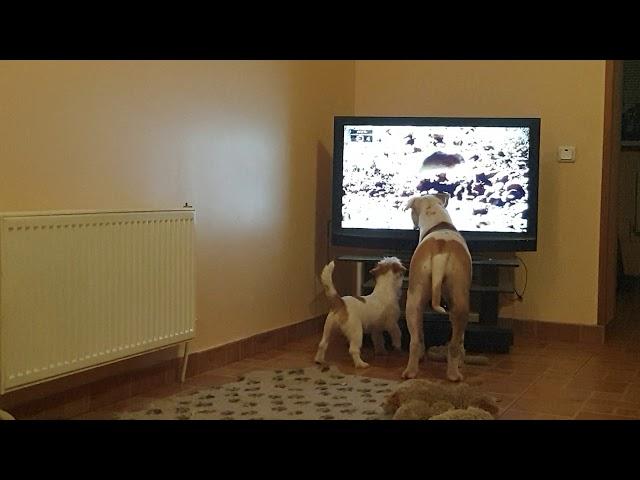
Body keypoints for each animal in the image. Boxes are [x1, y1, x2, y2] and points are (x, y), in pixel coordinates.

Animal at [402, 193, 472, 380]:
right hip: (461, 300)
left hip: (413, 298)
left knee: (415, 340)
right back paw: (454, 374)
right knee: (454, 344)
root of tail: (440, 252)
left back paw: (411, 371)